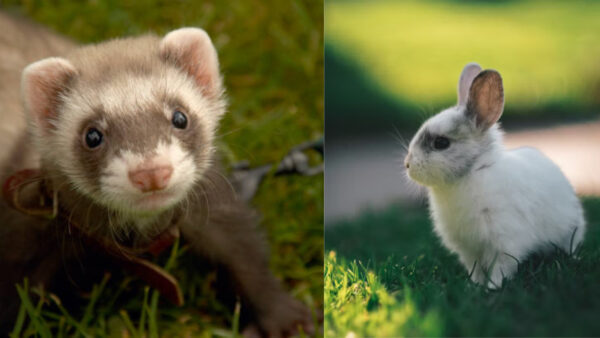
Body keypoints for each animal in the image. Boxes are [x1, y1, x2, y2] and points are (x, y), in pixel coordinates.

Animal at [404, 62, 584, 288]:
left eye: (441, 143)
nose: (407, 164)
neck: (471, 172)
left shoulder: (504, 242)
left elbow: (500, 268)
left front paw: (493, 288)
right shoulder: (469, 249)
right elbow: (475, 268)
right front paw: (475, 285)